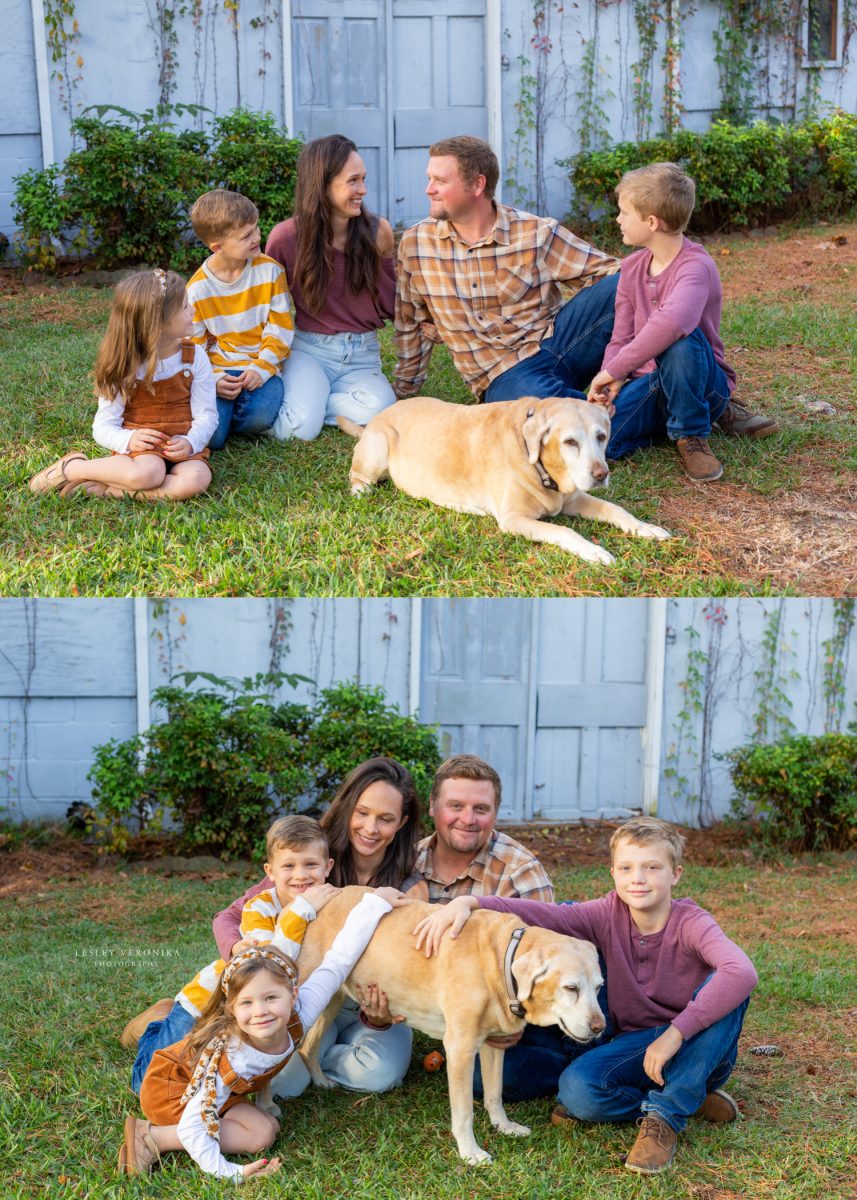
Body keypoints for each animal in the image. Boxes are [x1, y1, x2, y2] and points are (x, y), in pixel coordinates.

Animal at [297, 892, 604, 1161]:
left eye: (599, 987)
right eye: (571, 988)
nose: (600, 1027)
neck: (499, 959)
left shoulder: (493, 1045)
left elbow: (494, 1093)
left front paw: (503, 1126)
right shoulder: (460, 1049)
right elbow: (464, 1111)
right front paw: (470, 1152)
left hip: (331, 999)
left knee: (306, 1047)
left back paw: (321, 1080)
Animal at [336, 393, 672, 561]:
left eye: (601, 436)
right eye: (570, 442)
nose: (601, 474)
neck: (539, 466)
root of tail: (376, 418)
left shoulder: (574, 497)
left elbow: (617, 509)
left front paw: (646, 528)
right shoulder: (514, 520)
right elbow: (565, 532)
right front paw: (594, 551)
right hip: (378, 449)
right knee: (356, 475)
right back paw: (359, 491)